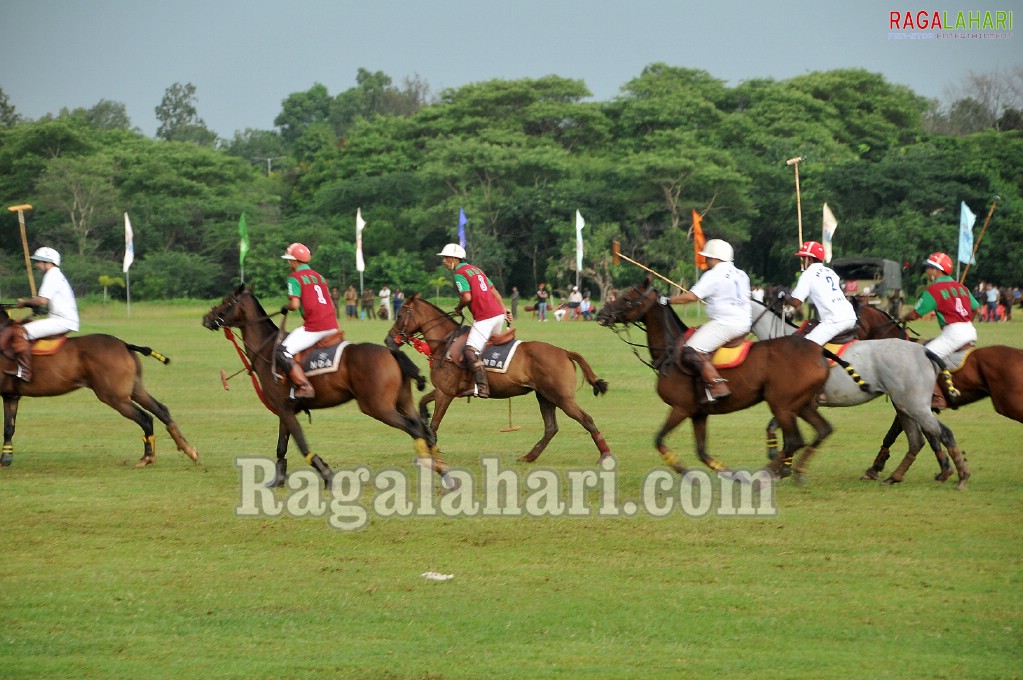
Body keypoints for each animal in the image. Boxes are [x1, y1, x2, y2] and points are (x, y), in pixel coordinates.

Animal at [0, 310, 198, 466]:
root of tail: (124, 344)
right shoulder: (10, 395)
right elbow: (9, 427)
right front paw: (6, 459)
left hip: (114, 396)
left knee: (145, 417)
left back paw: (148, 457)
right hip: (134, 389)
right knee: (161, 410)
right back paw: (189, 450)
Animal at [203, 286, 452, 488]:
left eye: (227, 302)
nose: (206, 318)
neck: (267, 350)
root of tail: (391, 351)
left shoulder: (285, 409)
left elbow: (301, 444)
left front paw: (327, 474)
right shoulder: (284, 409)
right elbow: (281, 446)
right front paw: (277, 481)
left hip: (377, 406)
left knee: (415, 429)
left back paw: (436, 468)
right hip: (403, 401)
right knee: (425, 430)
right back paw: (445, 474)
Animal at [382, 294, 605, 464]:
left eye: (400, 314)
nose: (388, 340)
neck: (445, 343)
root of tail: (565, 352)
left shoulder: (446, 392)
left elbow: (435, 423)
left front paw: (431, 448)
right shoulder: (444, 390)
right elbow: (423, 403)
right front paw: (424, 423)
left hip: (562, 397)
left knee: (586, 419)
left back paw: (605, 455)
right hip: (545, 396)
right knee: (551, 427)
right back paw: (529, 457)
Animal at [597, 278, 830, 474]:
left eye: (626, 298)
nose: (600, 315)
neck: (669, 350)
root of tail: (817, 352)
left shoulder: (680, 408)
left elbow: (659, 439)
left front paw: (684, 471)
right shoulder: (698, 413)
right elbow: (701, 451)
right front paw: (729, 474)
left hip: (781, 404)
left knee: (794, 440)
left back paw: (763, 477)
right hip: (801, 403)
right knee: (821, 430)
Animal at [744, 300, 965, 484]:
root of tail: (925, 351)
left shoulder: (794, 403)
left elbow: (779, 430)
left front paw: (781, 465)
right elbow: (778, 429)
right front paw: (782, 465)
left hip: (913, 404)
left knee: (935, 432)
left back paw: (954, 473)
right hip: (905, 404)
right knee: (919, 437)